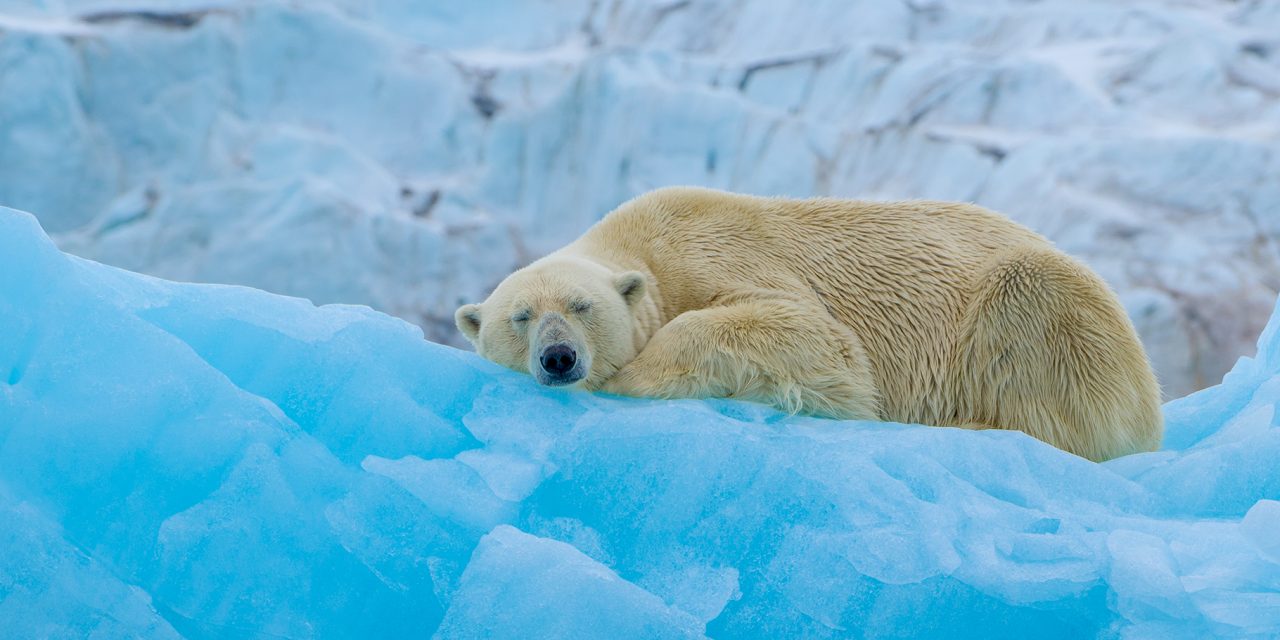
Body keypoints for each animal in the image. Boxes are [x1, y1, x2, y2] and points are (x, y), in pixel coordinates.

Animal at [455, 186, 1163, 462]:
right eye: (520, 318)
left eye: (580, 306)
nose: (559, 358)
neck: (646, 245)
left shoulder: (718, 253)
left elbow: (810, 335)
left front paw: (630, 377)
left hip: (1050, 308)